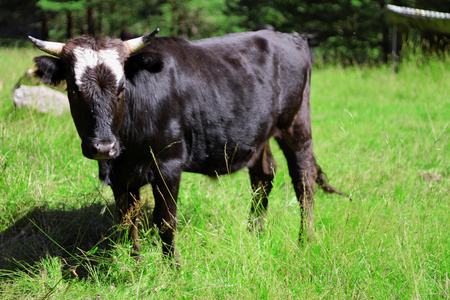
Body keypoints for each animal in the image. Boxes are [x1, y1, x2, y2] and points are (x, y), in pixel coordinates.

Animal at [28, 28, 346, 262]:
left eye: (121, 87)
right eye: (73, 89)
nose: (103, 147)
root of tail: (290, 36)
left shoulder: (168, 165)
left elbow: (166, 221)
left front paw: (173, 269)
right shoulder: (119, 173)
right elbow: (127, 220)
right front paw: (135, 265)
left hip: (296, 126)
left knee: (304, 182)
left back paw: (305, 240)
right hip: (258, 136)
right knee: (263, 177)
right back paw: (254, 234)